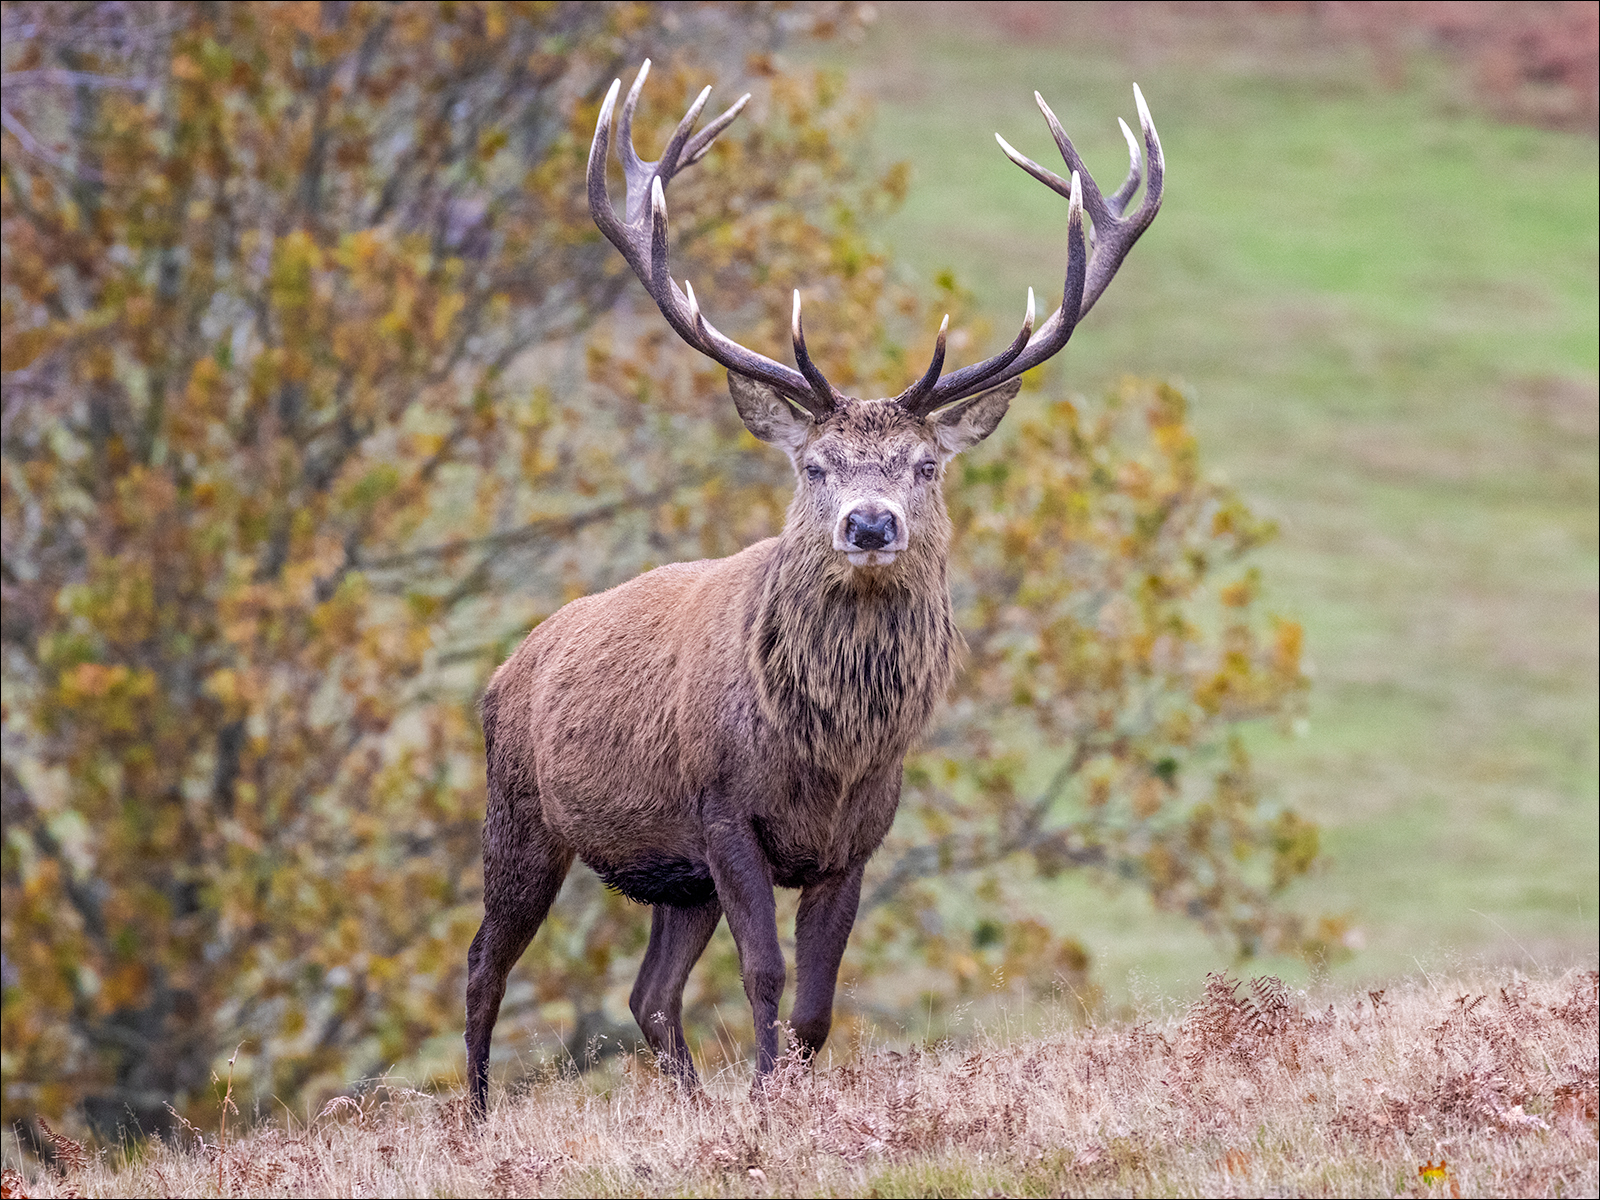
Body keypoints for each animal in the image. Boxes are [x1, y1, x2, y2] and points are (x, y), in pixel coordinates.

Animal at [464, 60, 1162, 1118]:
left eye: (925, 465)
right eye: (816, 464)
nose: (870, 525)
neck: (827, 755)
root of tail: (508, 669)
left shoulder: (857, 841)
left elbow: (818, 1005)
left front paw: (781, 1100)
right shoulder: (723, 811)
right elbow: (765, 976)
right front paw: (764, 1102)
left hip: (674, 878)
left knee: (648, 993)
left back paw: (689, 1105)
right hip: (522, 811)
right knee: (483, 965)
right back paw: (473, 1117)